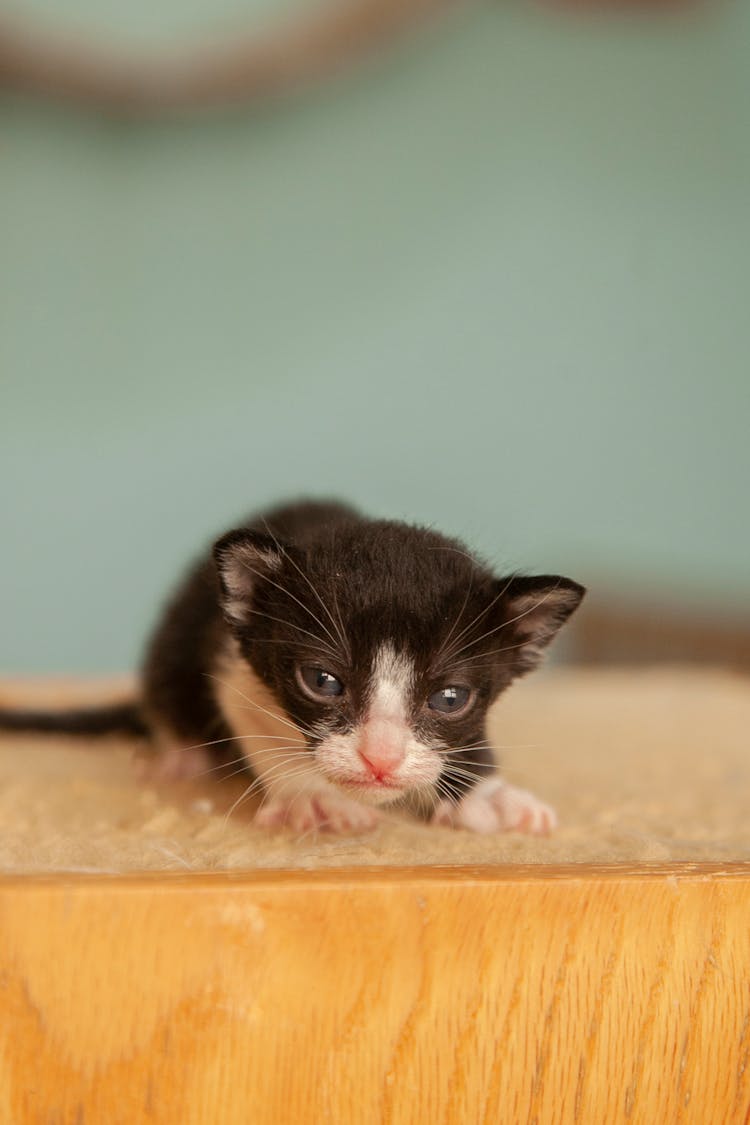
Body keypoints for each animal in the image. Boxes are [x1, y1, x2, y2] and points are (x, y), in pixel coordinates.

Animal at [1, 501, 584, 837]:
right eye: (323, 681)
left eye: (451, 698)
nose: (381, 761)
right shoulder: (229, 664)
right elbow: (262, 733)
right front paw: (313, 796)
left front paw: (489, 794)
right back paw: (181, 755)